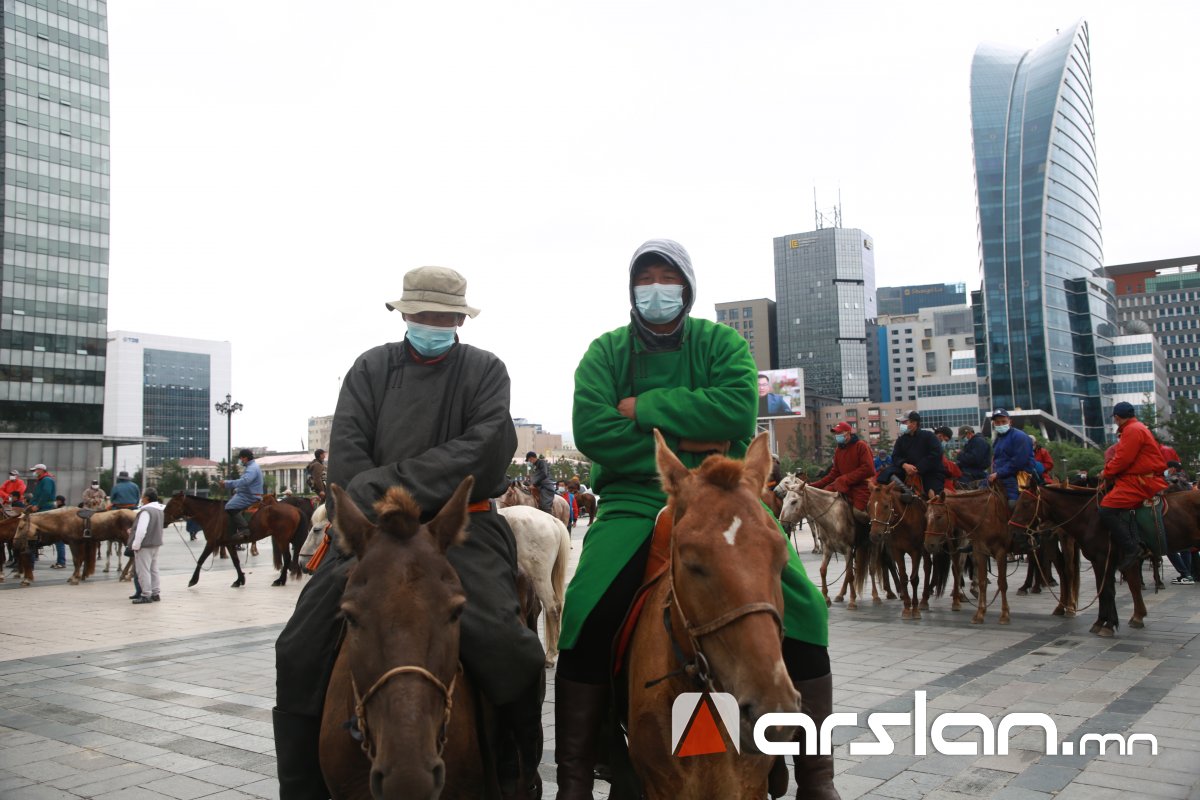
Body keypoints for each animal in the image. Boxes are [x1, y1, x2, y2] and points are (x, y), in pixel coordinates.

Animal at [162, 493, 305, 588]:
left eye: (171, 504)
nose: (163, 521)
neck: (213, 514)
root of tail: (296, 509)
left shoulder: (212, 543)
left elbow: (201, 559)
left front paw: (193, 580)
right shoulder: (229, 544)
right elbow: (236, 561)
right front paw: (239, 580)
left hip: (282, 539)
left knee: (287, 557)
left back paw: (281, 580)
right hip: (289, 538)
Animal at [867, 481, 938, 620]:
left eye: (886, 506)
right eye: (869, 505)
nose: (874, 535)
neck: (905, 523)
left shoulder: (916, 551)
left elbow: (914, 579)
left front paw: (915, 609)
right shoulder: (897, 551)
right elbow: (904, 577)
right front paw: (906, 607)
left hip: (926, 547)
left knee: (927, 567)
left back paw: (924, 600)